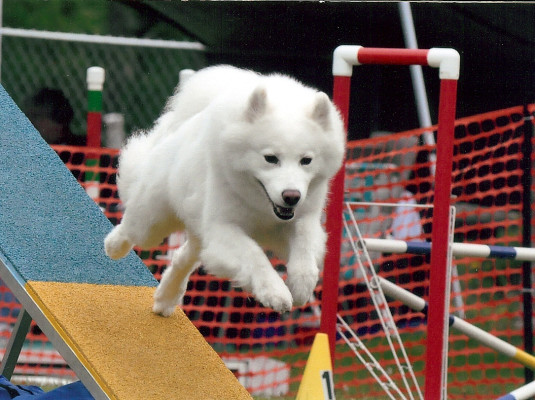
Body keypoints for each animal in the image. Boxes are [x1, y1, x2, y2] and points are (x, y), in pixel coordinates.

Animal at [105, 65, 348, 316]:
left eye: (306, 161)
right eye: (270, 158)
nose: (292, 196)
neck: (261, 206)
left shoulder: (302, 220)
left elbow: (305, 250)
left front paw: (301, 287)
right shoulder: (223, 228)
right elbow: (254, 255)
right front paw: (275, 293)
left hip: (200, 236)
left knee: (182, 257)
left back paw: (165, 300)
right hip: (153, 222)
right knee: (132, 228)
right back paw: (113, 247)